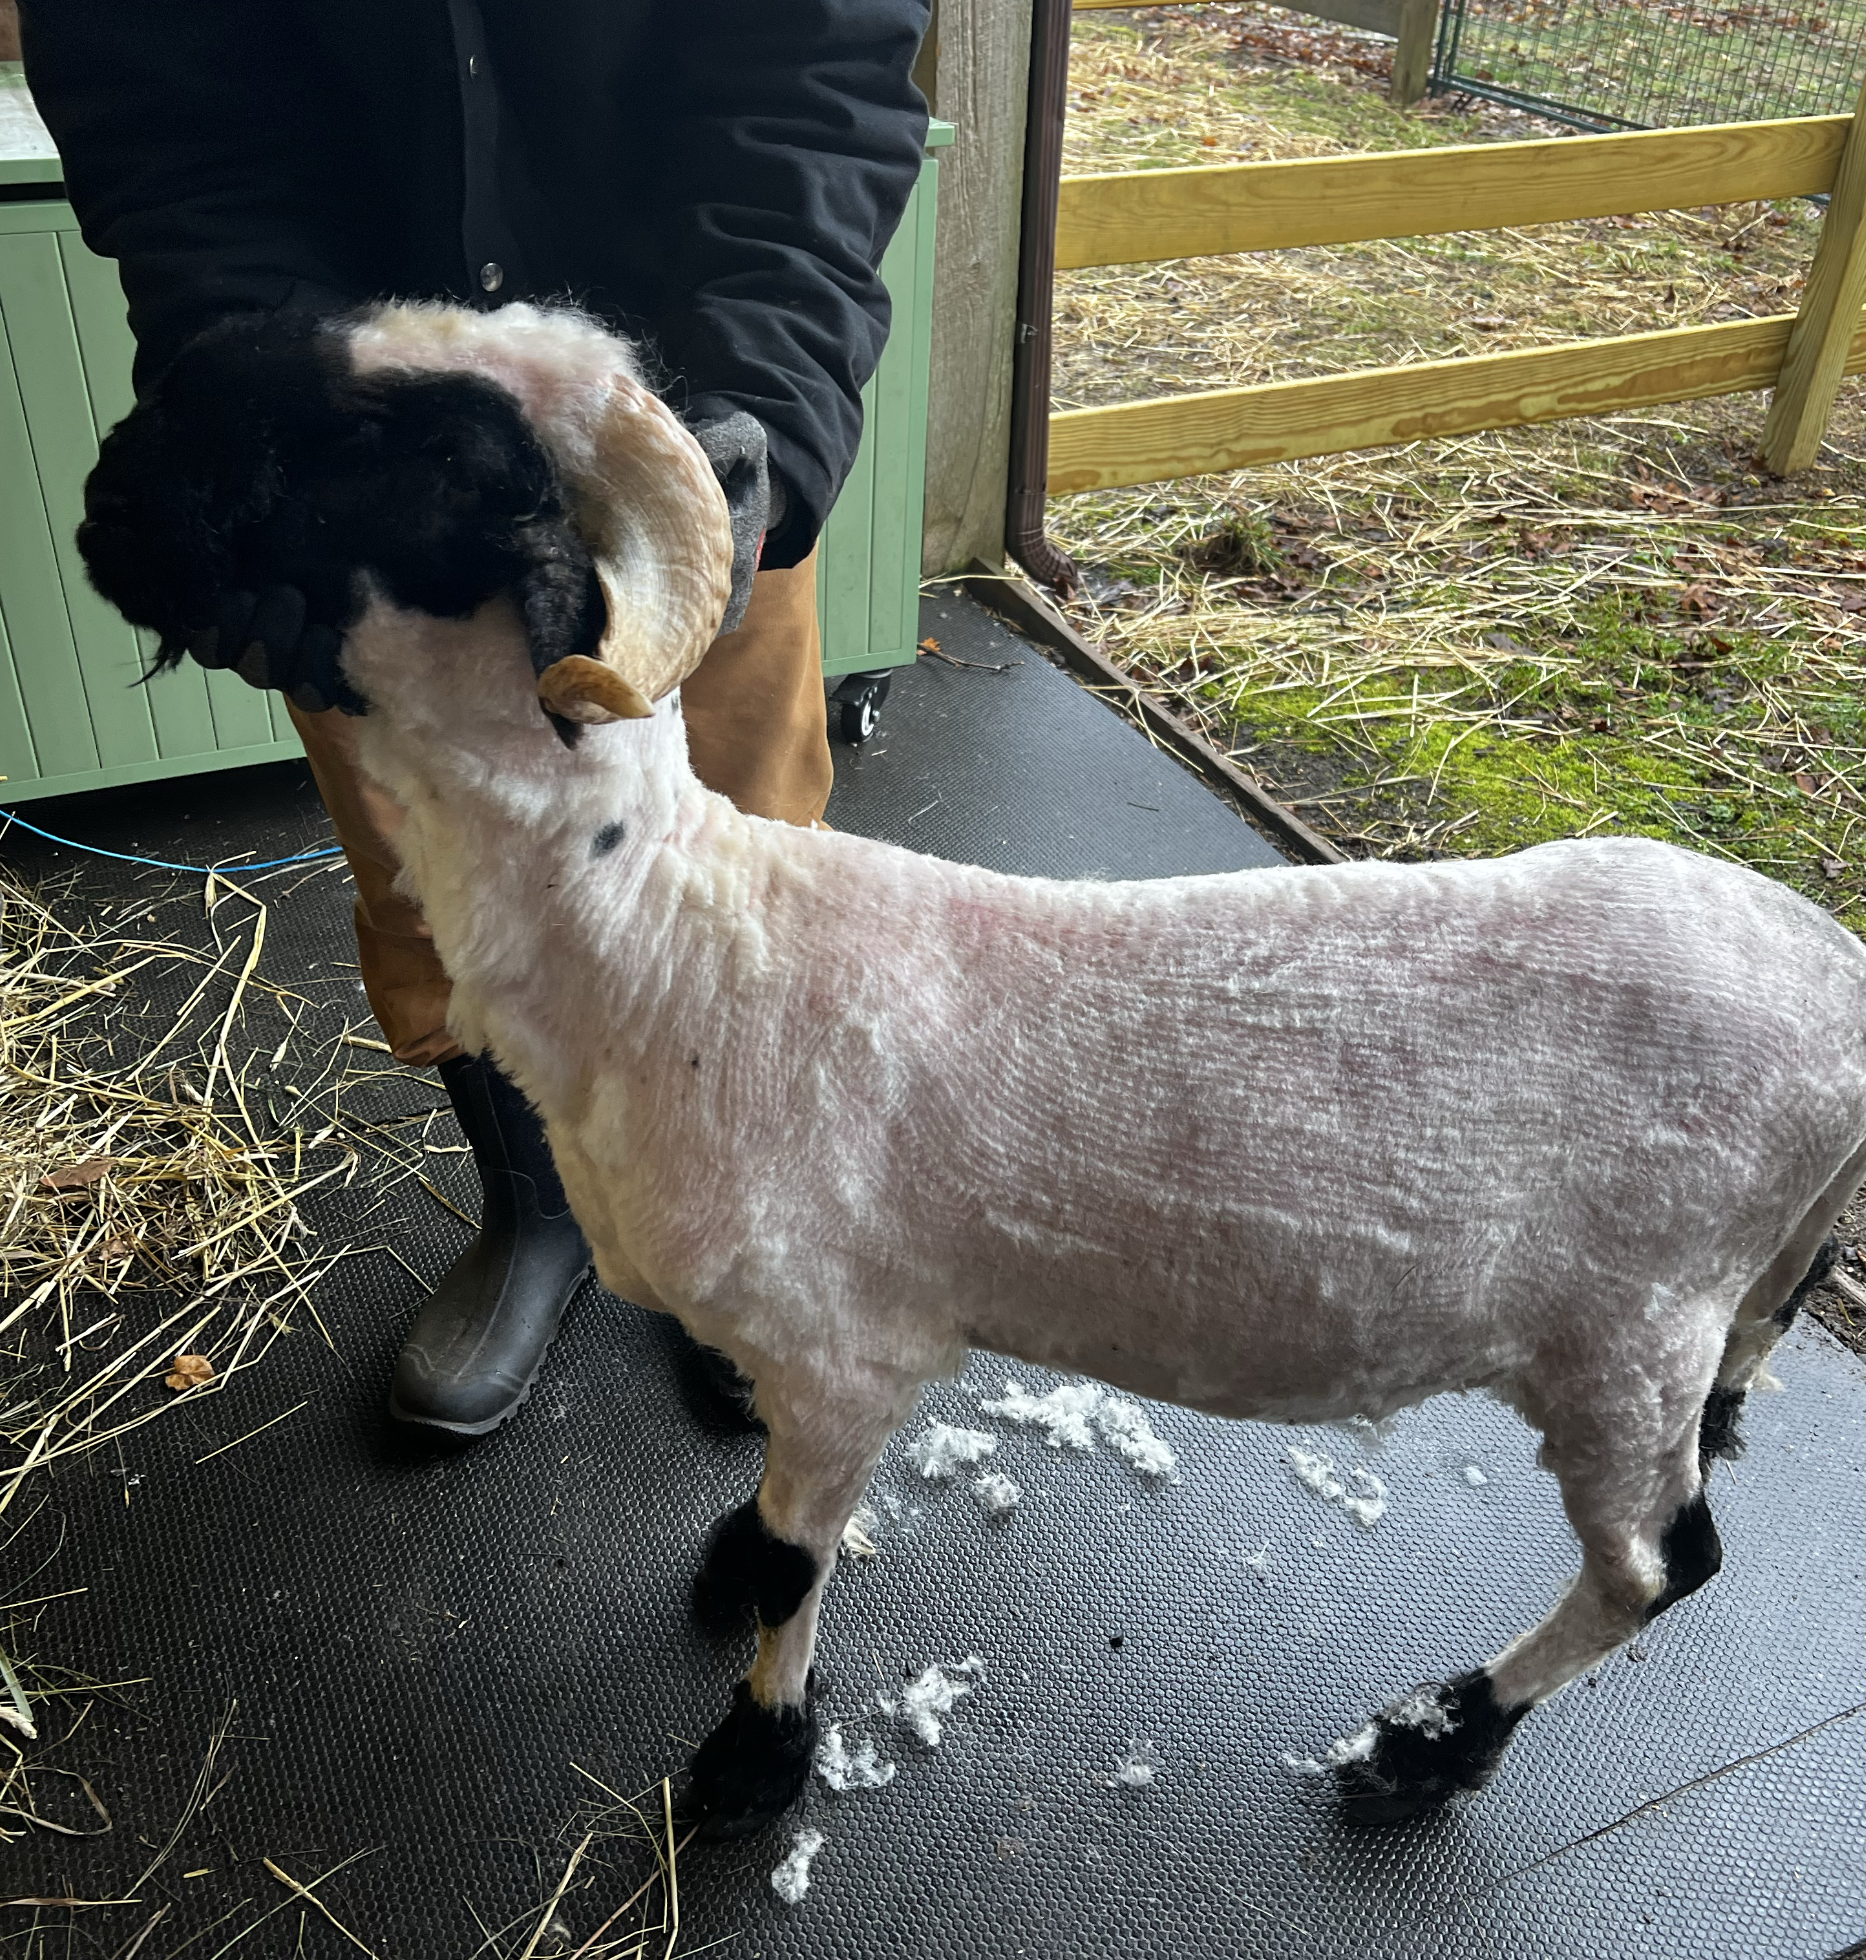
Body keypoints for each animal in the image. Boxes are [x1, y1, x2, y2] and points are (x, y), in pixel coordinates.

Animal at [128, 302, 1866, 1838]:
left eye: (421, 450)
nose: (126, 470)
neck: (678, 940)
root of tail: (1839, 990)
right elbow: (777, 1528)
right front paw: (726, 1580)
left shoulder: (853, 1349)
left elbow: (797, 1567)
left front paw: (752, 1767)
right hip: (1713, 1308)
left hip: (1624, 1328)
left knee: (1658, 1567)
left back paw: (1431, 1748)